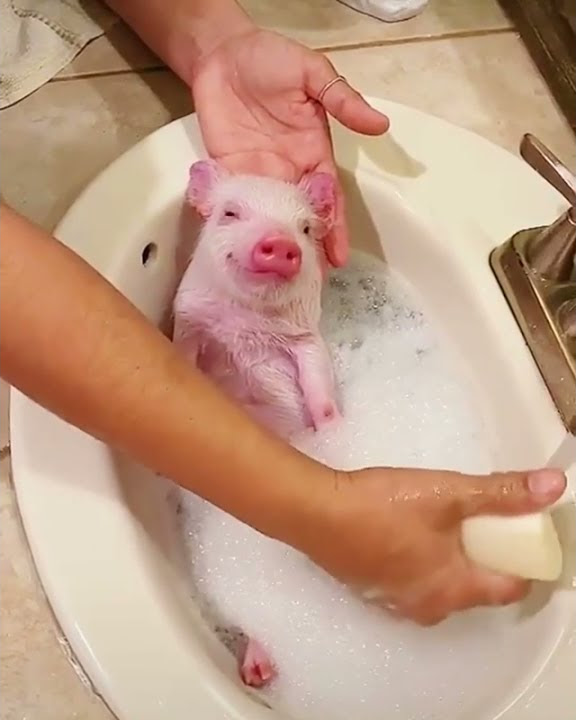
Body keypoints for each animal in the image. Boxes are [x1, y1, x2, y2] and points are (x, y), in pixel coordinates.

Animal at [172, 160, 341, 688]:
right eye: (230, 212)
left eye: (304, 229)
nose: (281, 242)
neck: (246, 328)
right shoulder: (189, 321)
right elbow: (185, 356)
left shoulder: (306, 339)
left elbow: (316, 377)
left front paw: (330, 426)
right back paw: (258, 671)